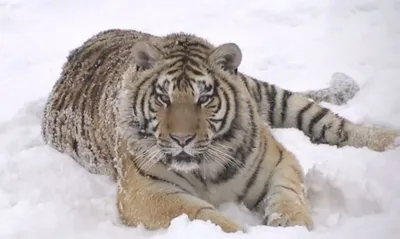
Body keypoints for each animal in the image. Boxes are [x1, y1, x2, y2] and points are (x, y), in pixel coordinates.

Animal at [42, 28, 398, 233]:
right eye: (163, 97)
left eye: (204, 97)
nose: (182, 139)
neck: (206, 169)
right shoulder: (144, 192)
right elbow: (204, 215)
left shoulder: (279, 162)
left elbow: (288, 196)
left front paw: (291, 224)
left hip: (276, 97)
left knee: (332, 124)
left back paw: (390, 140)